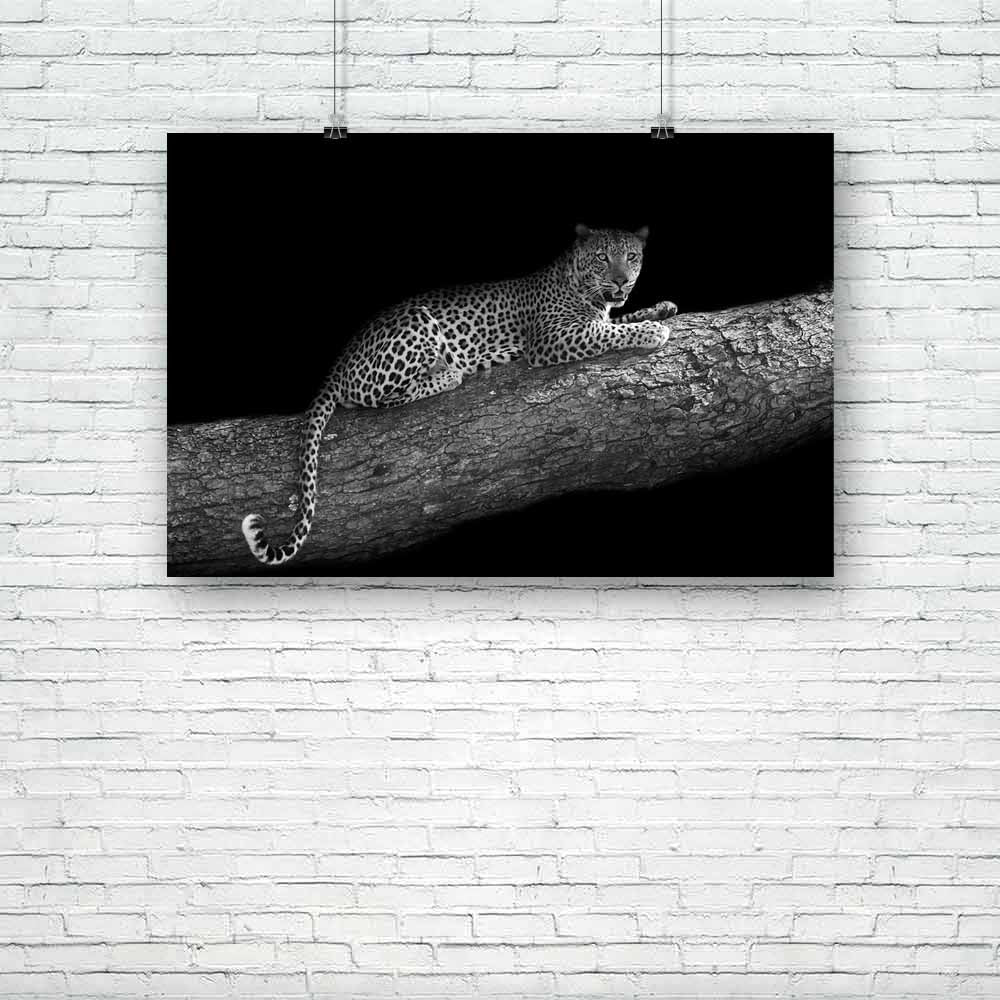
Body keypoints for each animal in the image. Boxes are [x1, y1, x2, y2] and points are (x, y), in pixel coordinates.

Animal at [241, 223, 678, 566]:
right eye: (603, 257)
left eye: (632, 257)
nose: (621, 281)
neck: (584, 286)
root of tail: (336, 366)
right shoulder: (551, 339)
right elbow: (608, 332)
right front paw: (652, 331)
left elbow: (617, 320)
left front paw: (662, 308)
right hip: (415, 326)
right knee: (385, 396)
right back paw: (449, 373)